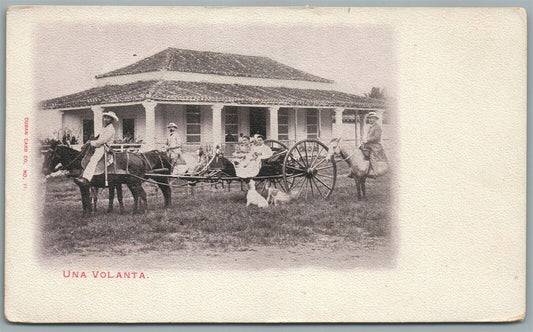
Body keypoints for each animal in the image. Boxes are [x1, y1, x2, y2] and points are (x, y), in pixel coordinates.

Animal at [43, 143, 172, 215]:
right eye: (44, 155)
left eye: (51, 155)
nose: (44, 170)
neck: (79, 163)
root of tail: (140, 159)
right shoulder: (88, 186)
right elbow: (86, 199)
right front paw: (86, 212)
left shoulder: (87, 185)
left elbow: (87, 199)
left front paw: (88, 214)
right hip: (134, 182)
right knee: (141, 194)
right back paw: (137, 211)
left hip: (144, 181)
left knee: (150, 193)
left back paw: (147, 210)